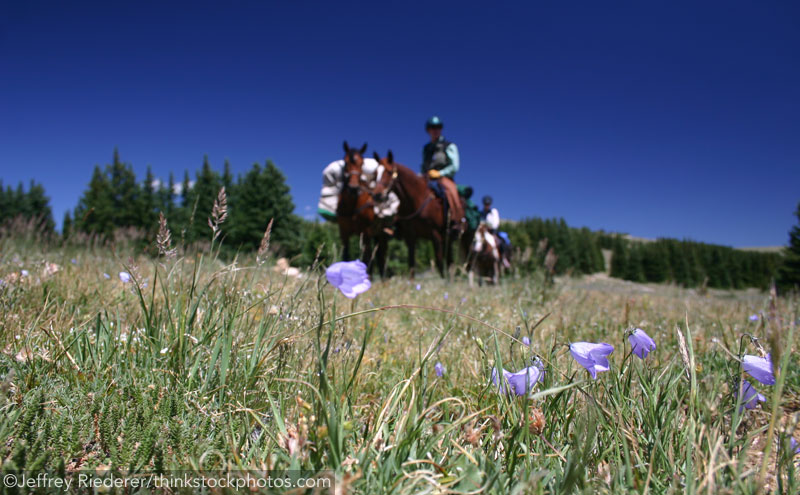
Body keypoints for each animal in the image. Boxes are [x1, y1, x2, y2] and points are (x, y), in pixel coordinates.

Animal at [336, 142, 390, 280]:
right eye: (345, 162)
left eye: (362, 163)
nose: (353, 188)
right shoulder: (343, 232)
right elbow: (345, 255)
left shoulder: (365, 232)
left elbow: (367, 258)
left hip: (380, 235)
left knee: (380, 257)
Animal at [372, 149, 472, 280]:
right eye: (375, 174)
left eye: (389, 172)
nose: (377, 195)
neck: (416, 200)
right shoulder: (410, 235)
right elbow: (411, 262)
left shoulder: (435, 234)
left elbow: (439, 262)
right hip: (448, 238)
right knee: (451, 261)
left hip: (465, 237)